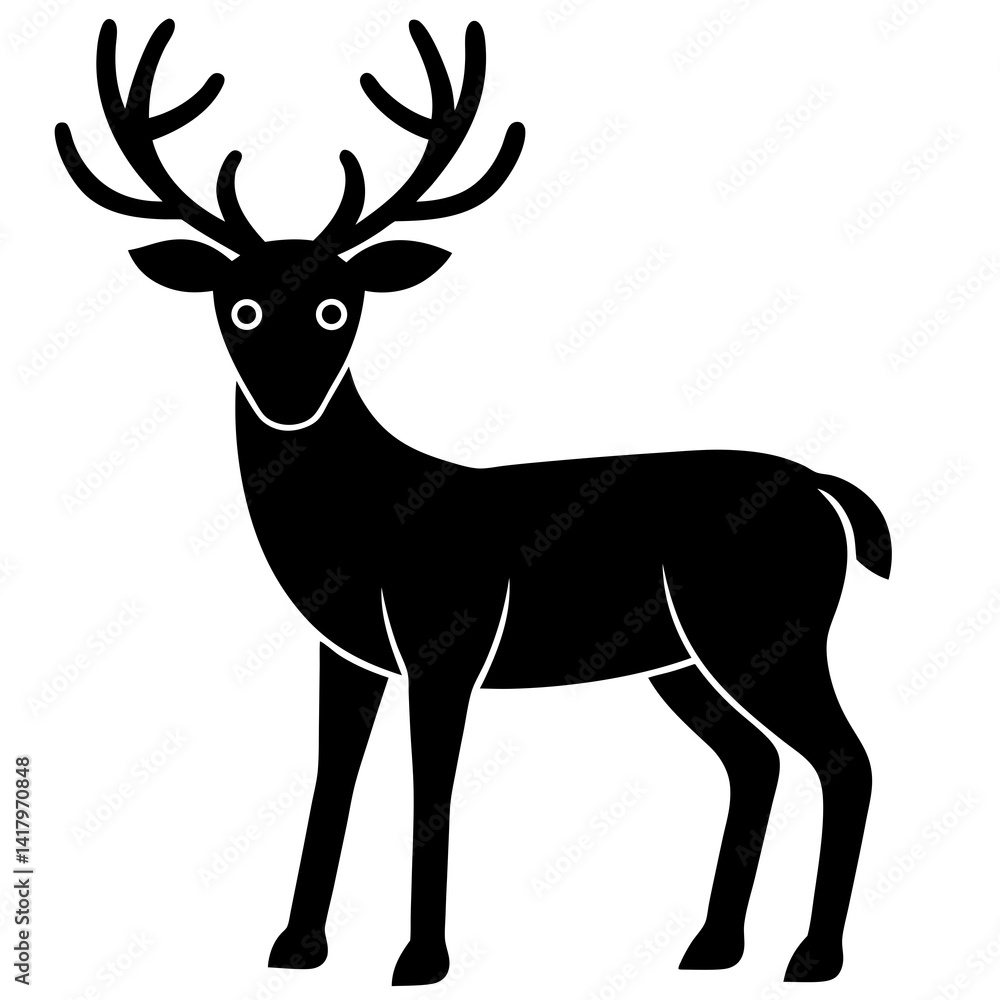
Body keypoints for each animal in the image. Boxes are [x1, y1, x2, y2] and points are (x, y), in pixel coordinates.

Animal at [56, 17, 891, 987]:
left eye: (339, 306)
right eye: (241, 308)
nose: (288, 398)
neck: (363, 519)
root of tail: (825, 490)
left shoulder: (446, 636)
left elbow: (432, 785)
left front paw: (420, 959)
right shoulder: (347, 652)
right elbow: (331, 779)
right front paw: (297, 946)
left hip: (766, 628)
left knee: (846, 759)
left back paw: (814, 955)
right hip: (684, 659)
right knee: (756, 761)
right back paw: (714, 946)